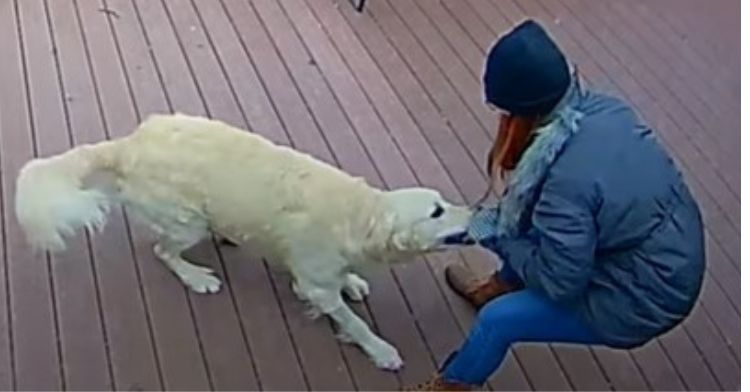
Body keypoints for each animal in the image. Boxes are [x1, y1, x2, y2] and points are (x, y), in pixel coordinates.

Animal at [14, 113, 470, 370]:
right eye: (436, 211)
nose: (475, 211)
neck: (359, 215)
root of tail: (129, 143)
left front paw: (354, 281)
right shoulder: (314, 286)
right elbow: (353, 322)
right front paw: (380, 349)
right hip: (187, 222)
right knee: (165, 251)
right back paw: (196, 275)